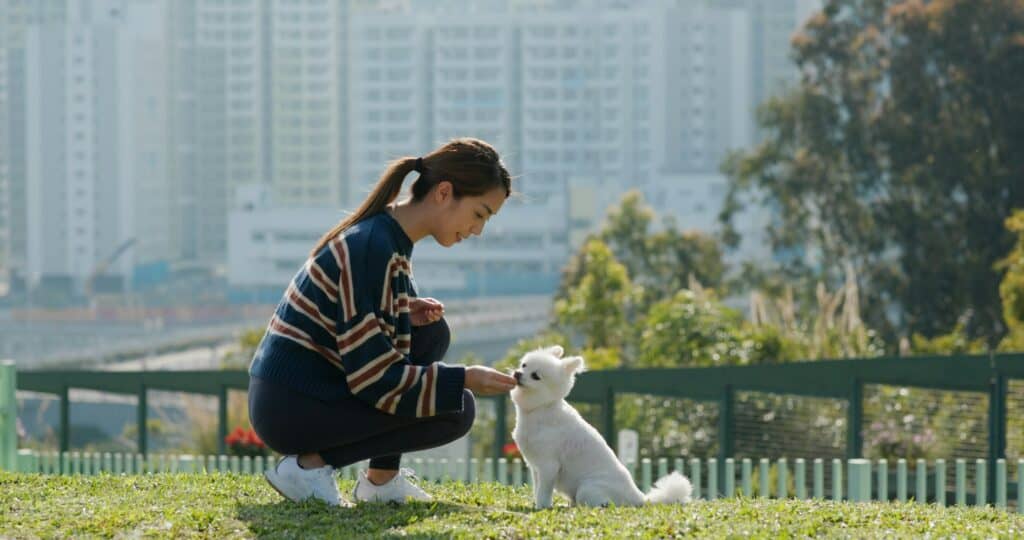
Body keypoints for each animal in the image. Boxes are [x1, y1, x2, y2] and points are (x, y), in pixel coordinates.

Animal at [507, 344, 692, 510]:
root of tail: (639, 497)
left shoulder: (548, 466)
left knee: (602, 503)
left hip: (587, 488)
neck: (540, 409)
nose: (517, 373)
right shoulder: (535, 467)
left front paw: (542, 506)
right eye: (524, 365)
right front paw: (536, 503)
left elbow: (544, 491)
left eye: (535, 376)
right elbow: (537, 488)